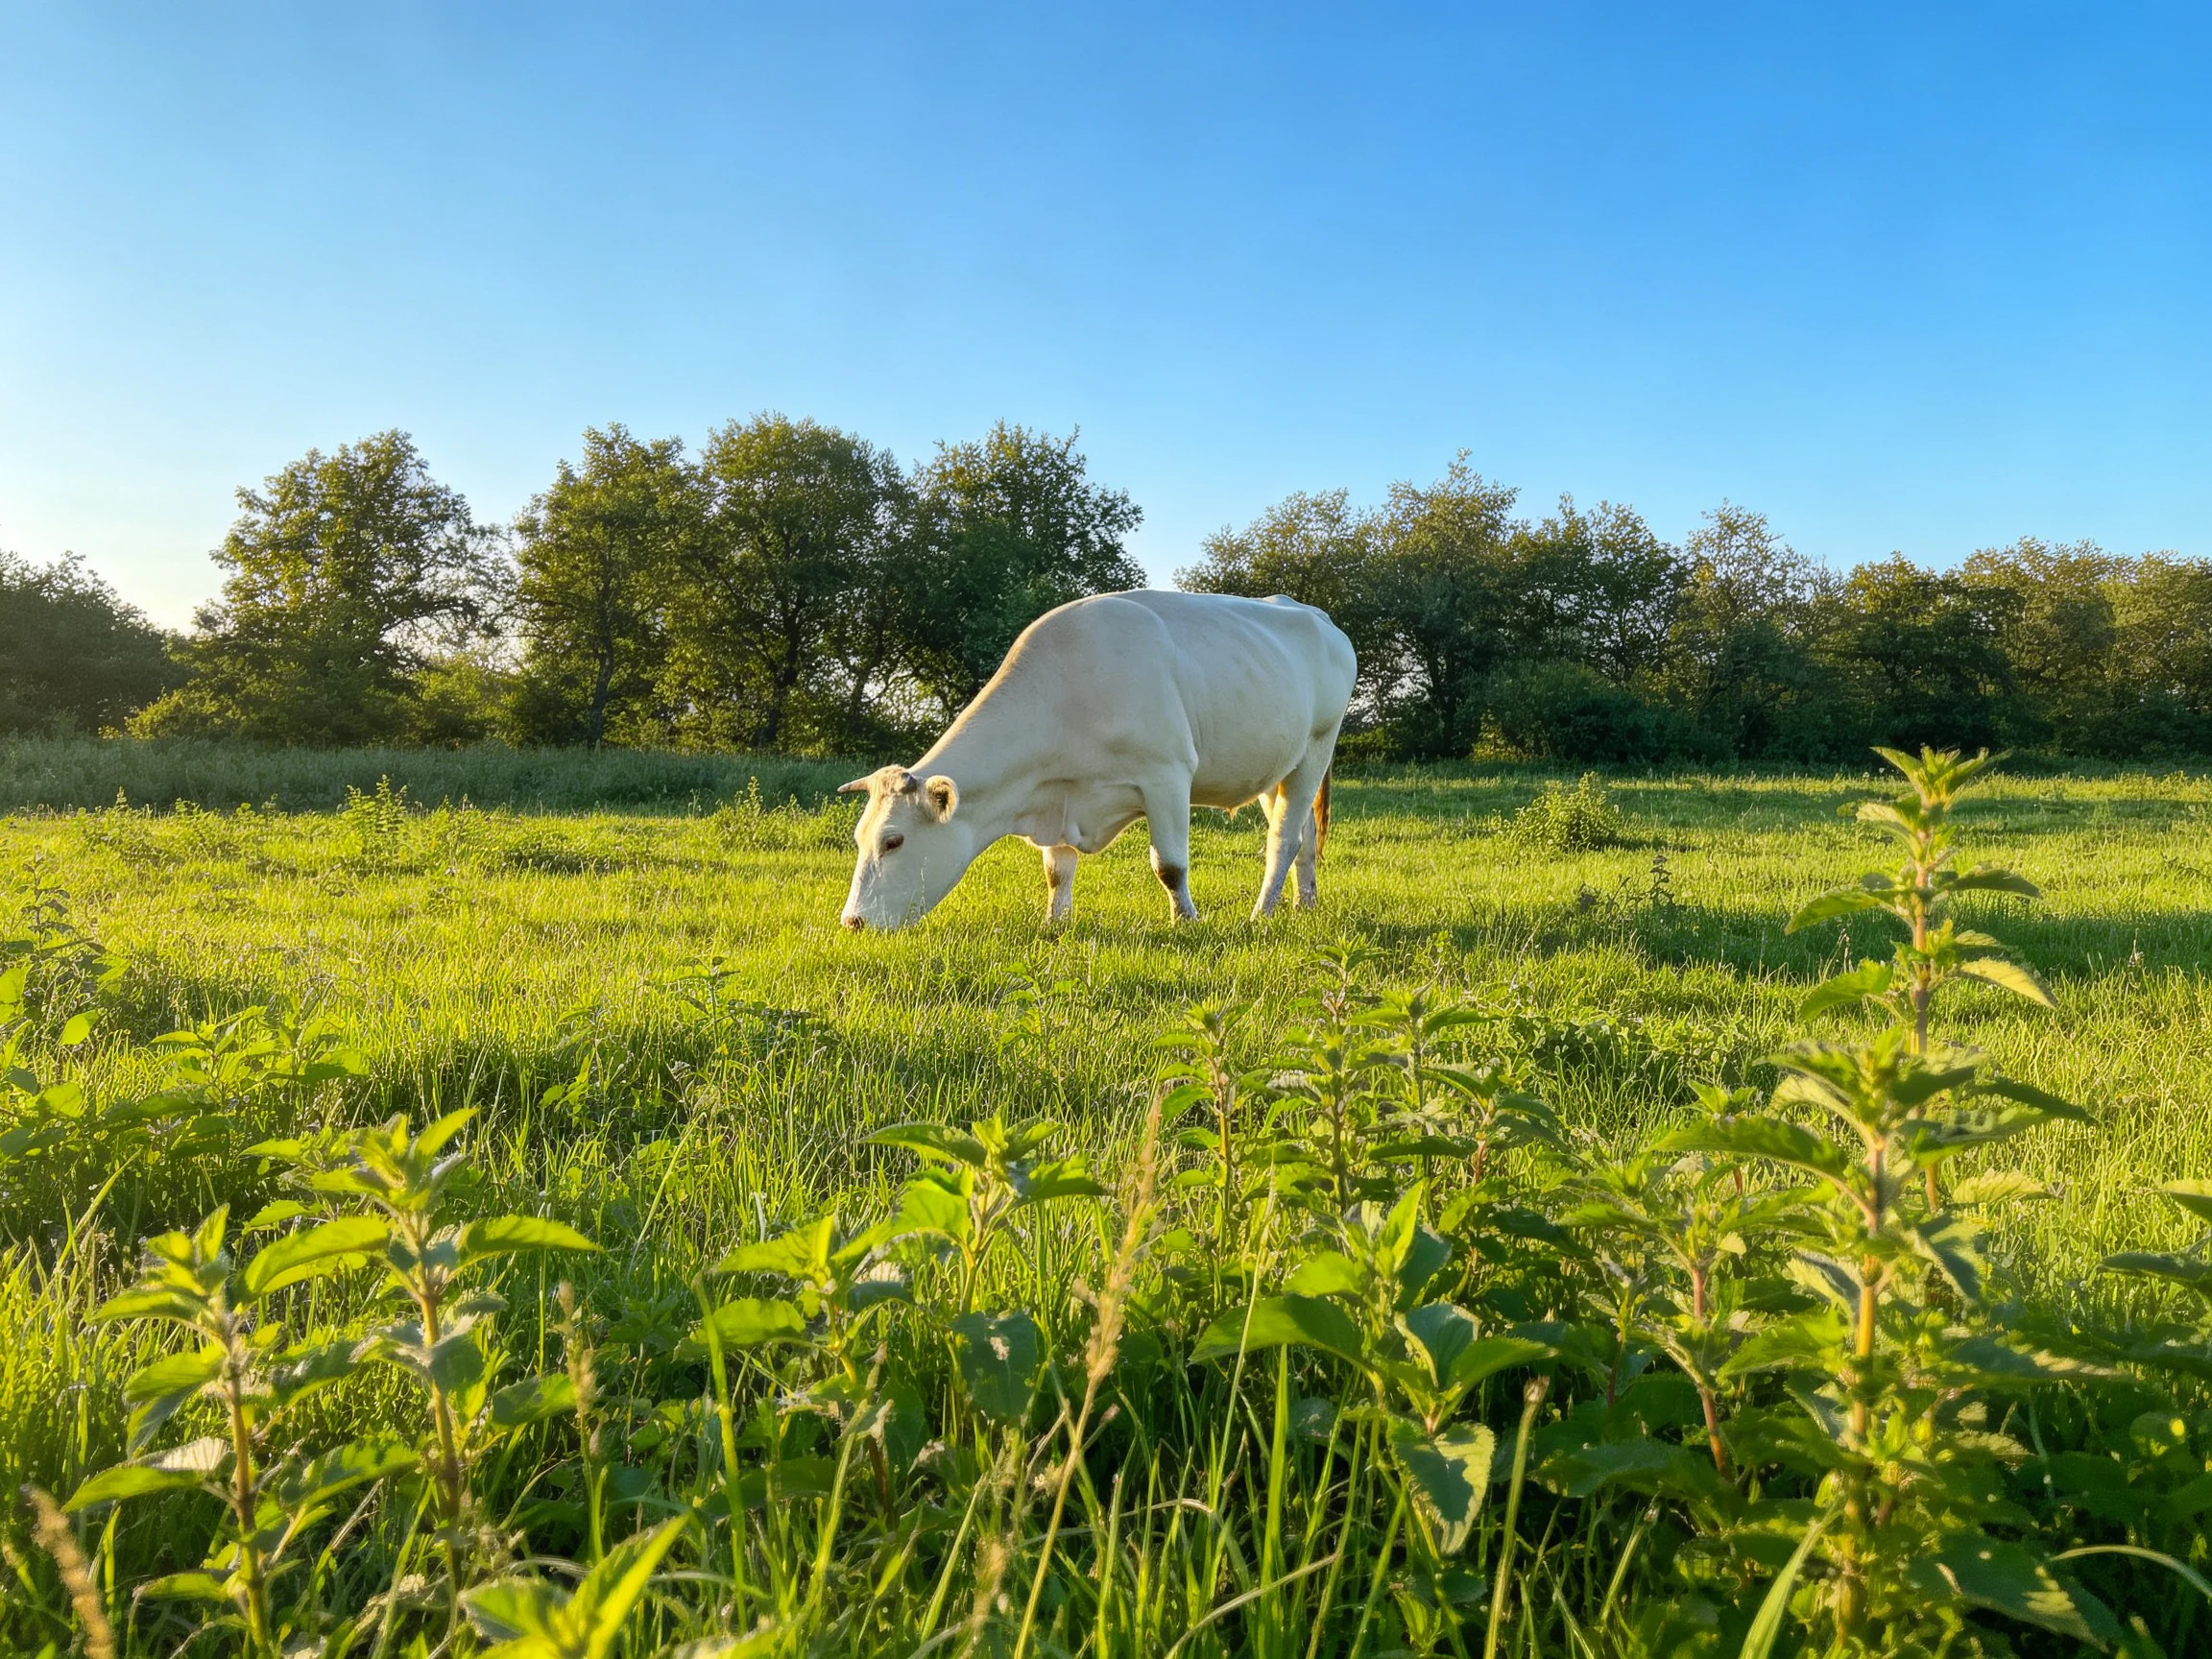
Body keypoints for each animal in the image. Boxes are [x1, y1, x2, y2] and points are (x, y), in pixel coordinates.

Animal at [837, 589, 1357, 930]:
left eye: (893, 841)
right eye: (859, 838)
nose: (852, 922)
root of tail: (1317, 615)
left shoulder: (1167, 775)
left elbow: (1169, 865)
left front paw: (1186, 920)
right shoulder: (1056, 794)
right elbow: (1056, 871)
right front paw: (1055, 923)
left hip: (1318, 745)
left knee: (1282, 840)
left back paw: (1261, 912)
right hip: (1279, 768)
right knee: (1302, 837)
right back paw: (1304, 904)